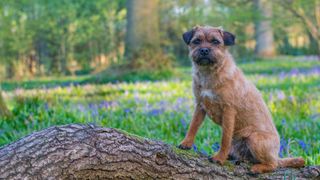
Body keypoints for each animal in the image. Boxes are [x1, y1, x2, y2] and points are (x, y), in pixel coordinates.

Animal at [178, 25, 304, 173]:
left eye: (215, 42)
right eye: (196, 41)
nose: (204, 50)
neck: (209, 73)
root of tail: (276, 155)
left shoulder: (228, 110)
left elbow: (224, 139)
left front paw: (219, 158)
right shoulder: (200, 105)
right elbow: (193, 125)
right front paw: (186, 143)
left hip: (254, 139)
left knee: (273, 165)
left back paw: (257, 168)